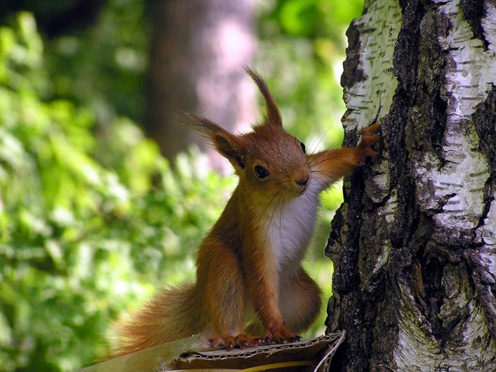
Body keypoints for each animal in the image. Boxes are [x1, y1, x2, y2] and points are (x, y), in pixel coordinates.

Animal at [114, 68, 382, 356]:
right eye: (260, 171)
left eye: (300, 145)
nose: (302, 178)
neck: (286, 199)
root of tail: (201, 302)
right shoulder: (255, 231)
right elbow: (261, 278)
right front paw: (277, 328)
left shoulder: (317, 173)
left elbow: (336, 162)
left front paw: (362, 149)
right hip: (221, 266)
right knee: (227, 309)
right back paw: (233, 337)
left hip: (302, 298)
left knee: (265, 320)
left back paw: (261, 335)